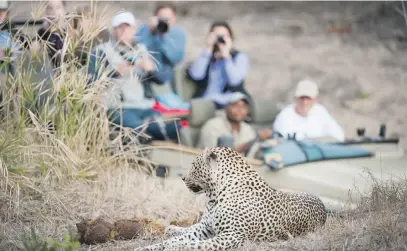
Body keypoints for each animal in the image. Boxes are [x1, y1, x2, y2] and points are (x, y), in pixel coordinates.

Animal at [135, 146, 326, 250]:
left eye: (194, 165)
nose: (182, 178)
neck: (213, 195)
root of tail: (323, 207)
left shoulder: (233, 235)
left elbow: (197, 245)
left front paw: (174, 247)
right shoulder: (205, 229)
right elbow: (182, 237)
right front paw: (148, 247)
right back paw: (172, 228)